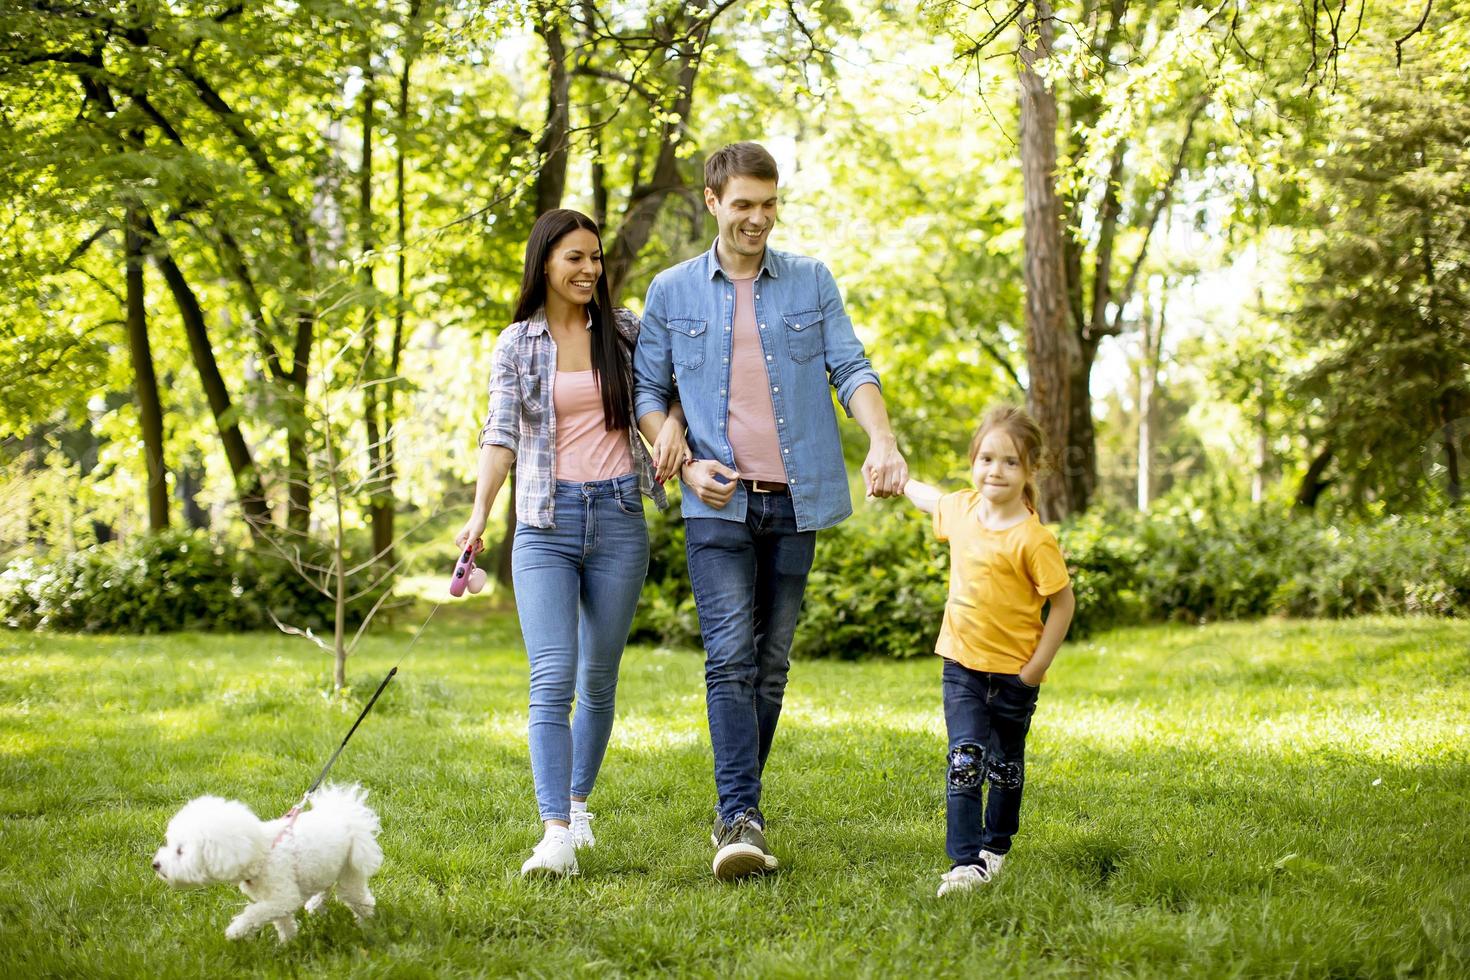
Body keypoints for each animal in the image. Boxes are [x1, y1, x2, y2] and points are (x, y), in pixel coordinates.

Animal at [153, 781, 385, 940]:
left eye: (180, 851)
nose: (155, 865)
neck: (261, 853)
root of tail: (345, 816)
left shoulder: (282, 897)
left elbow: (256, 912)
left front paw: (236, 930)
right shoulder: (276, 899)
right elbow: (282, 921)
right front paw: (289, 943)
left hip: (349, 871)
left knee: (359, 899)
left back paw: (367, 926)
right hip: (322, 867)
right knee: (325, 887)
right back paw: (315, 905)